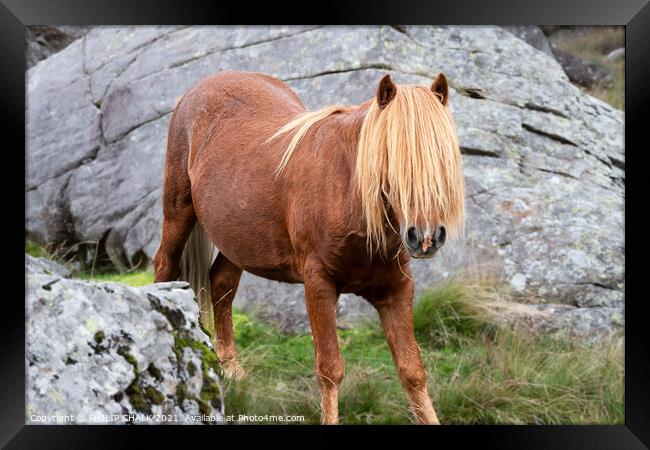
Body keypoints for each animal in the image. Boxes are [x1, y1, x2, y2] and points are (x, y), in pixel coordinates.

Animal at [154, 68, 464, 424]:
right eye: (389, 158)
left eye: (443, 158)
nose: (426, 237)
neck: (346, 192)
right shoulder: (318, 284)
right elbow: (330, 370)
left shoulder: (396, 290)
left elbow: (412, 371)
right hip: (179, 212)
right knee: (165, 264)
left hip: (239, 238)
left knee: (221, 283)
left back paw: (232, 371)